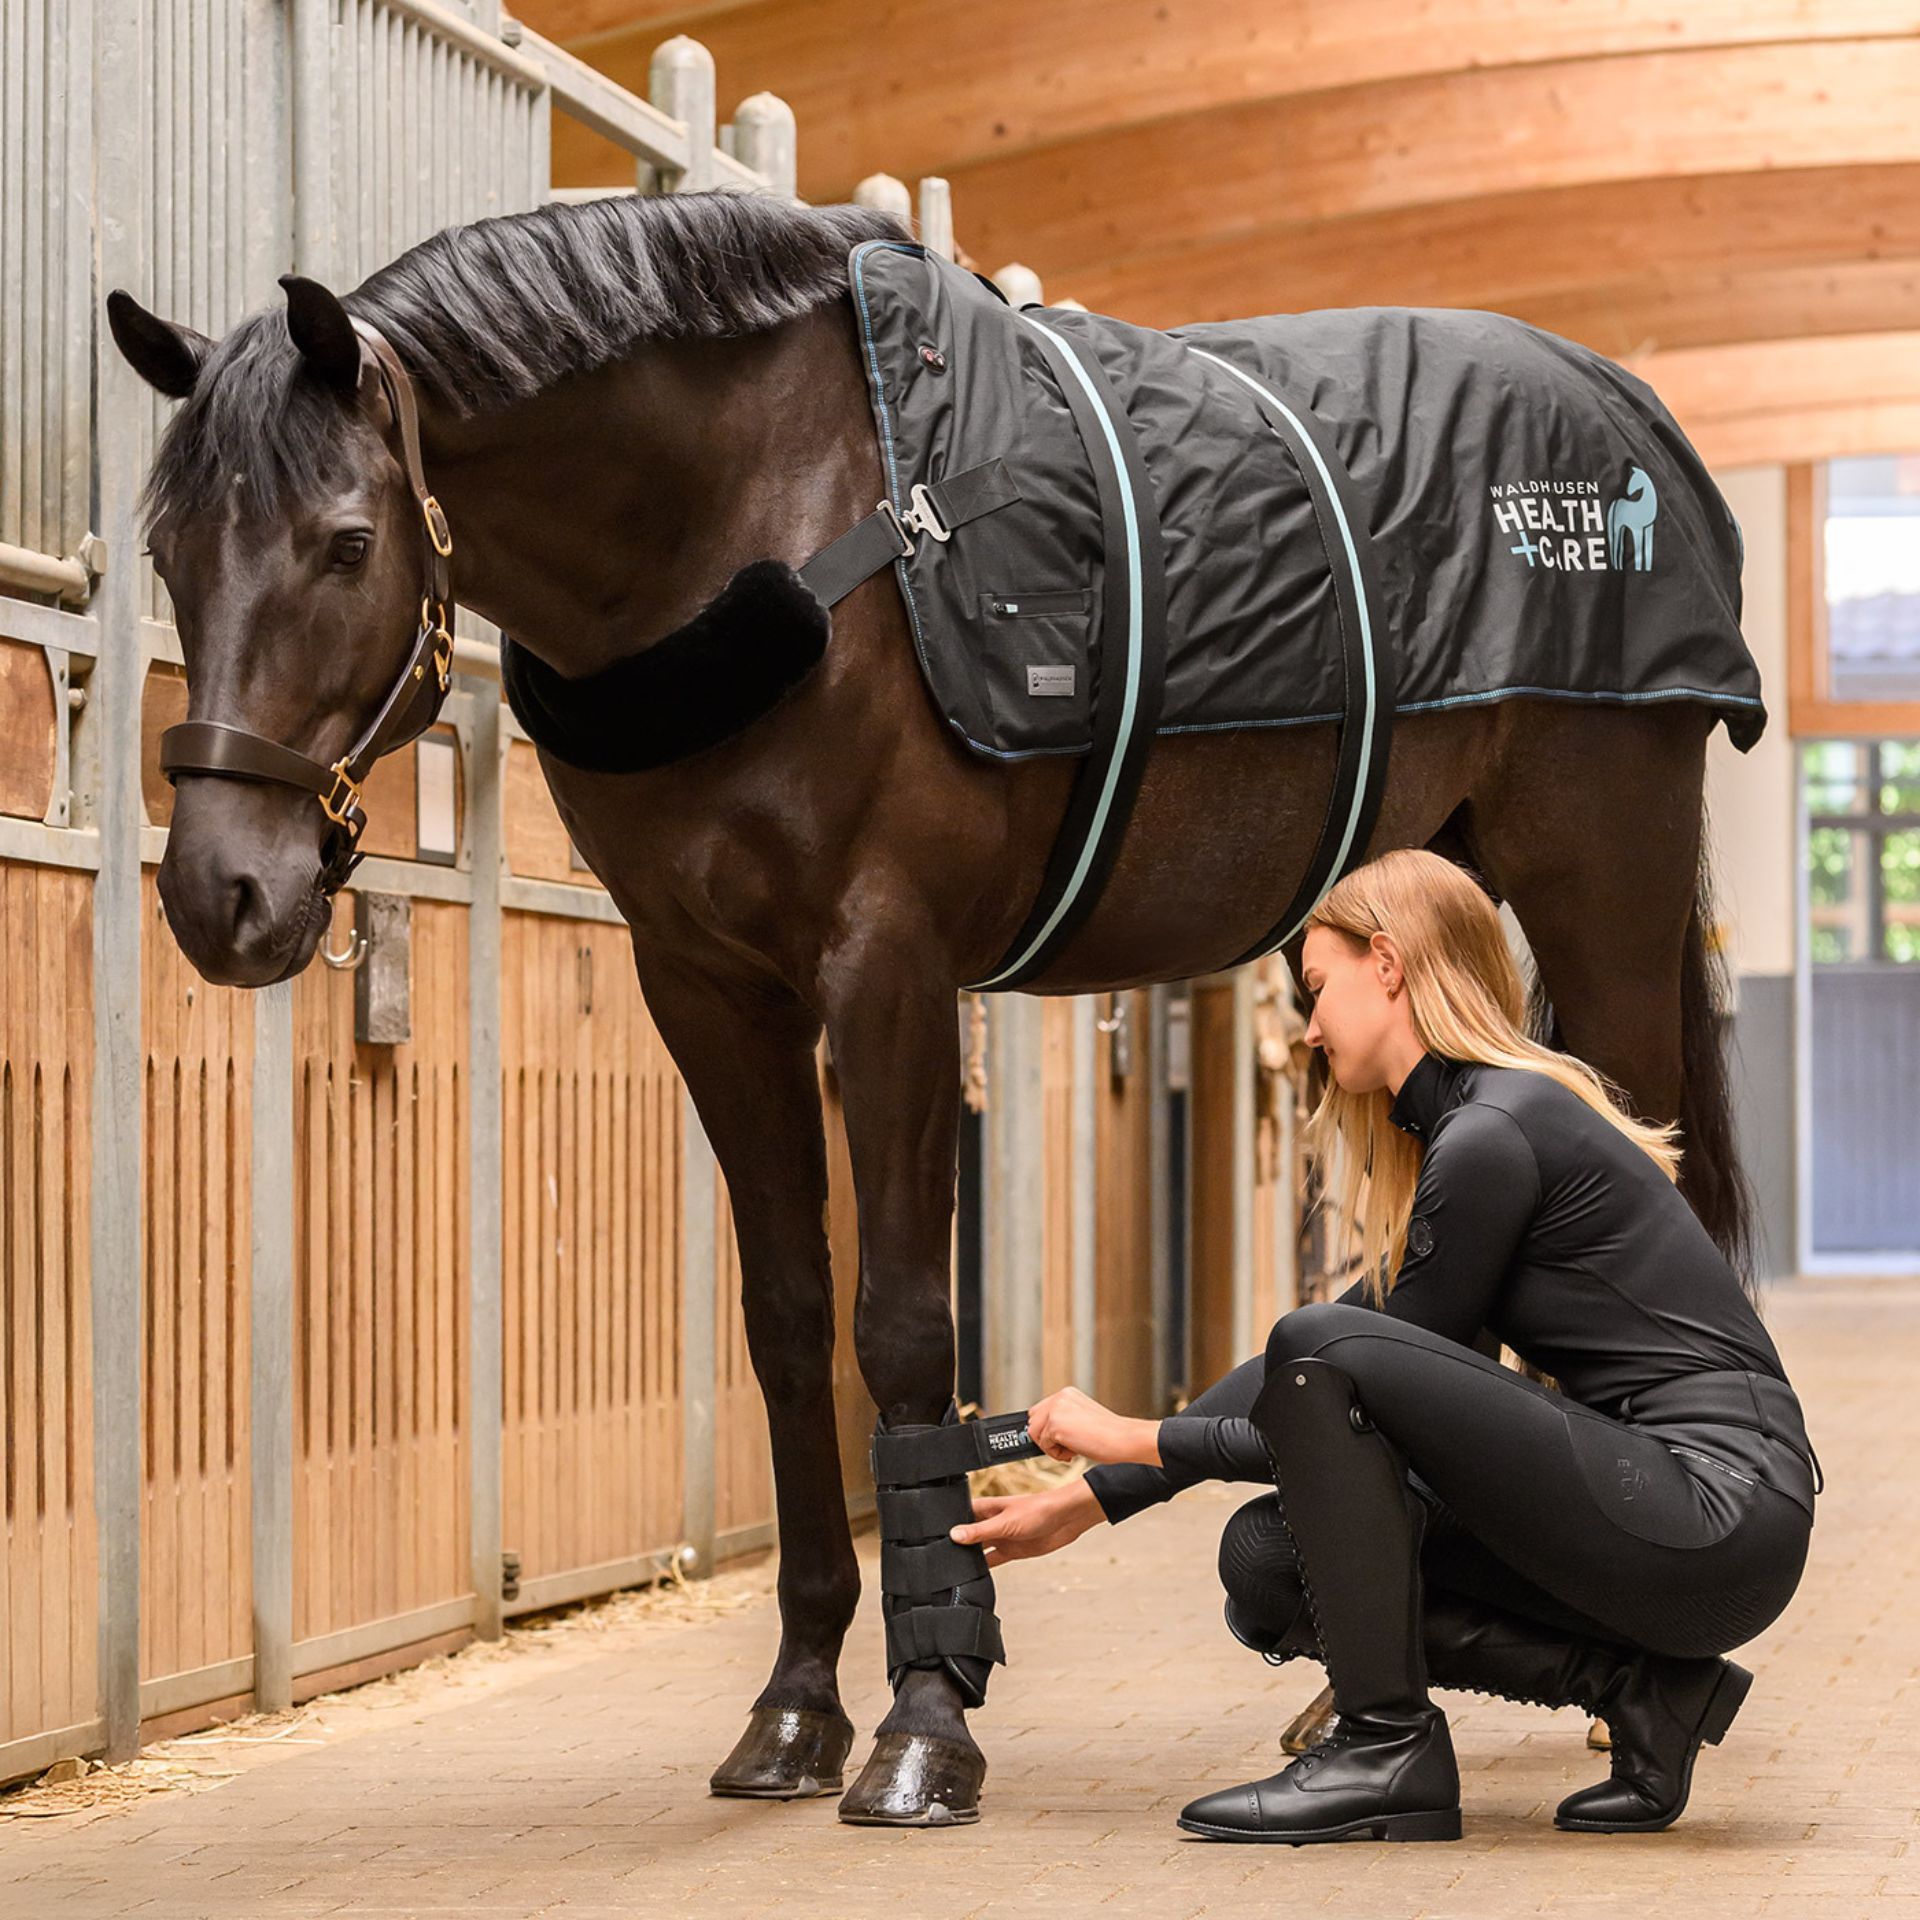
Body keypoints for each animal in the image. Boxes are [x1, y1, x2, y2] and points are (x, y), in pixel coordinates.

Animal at [108, 188, 1757, 1829]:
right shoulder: (710, 986)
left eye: (345, 543)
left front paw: (925, 1720)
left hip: (1596, 896)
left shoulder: (887, 969)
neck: (767, 525)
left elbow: (902, 1328)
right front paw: (793, 1709)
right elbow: (789, 1323)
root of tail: (1621, 414)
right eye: (170, 549)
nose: (220, 893)